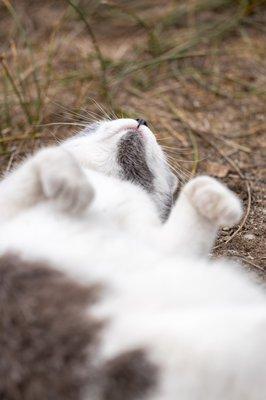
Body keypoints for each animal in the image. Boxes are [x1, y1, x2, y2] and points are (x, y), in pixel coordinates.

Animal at [0, 117, 264, 398]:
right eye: (92, 127)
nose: (141, 119)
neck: (110, 183)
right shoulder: (8, 207)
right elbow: (50, 156)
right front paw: (74, 185)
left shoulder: (163, 244)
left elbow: (194, 199)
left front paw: (216, 198)